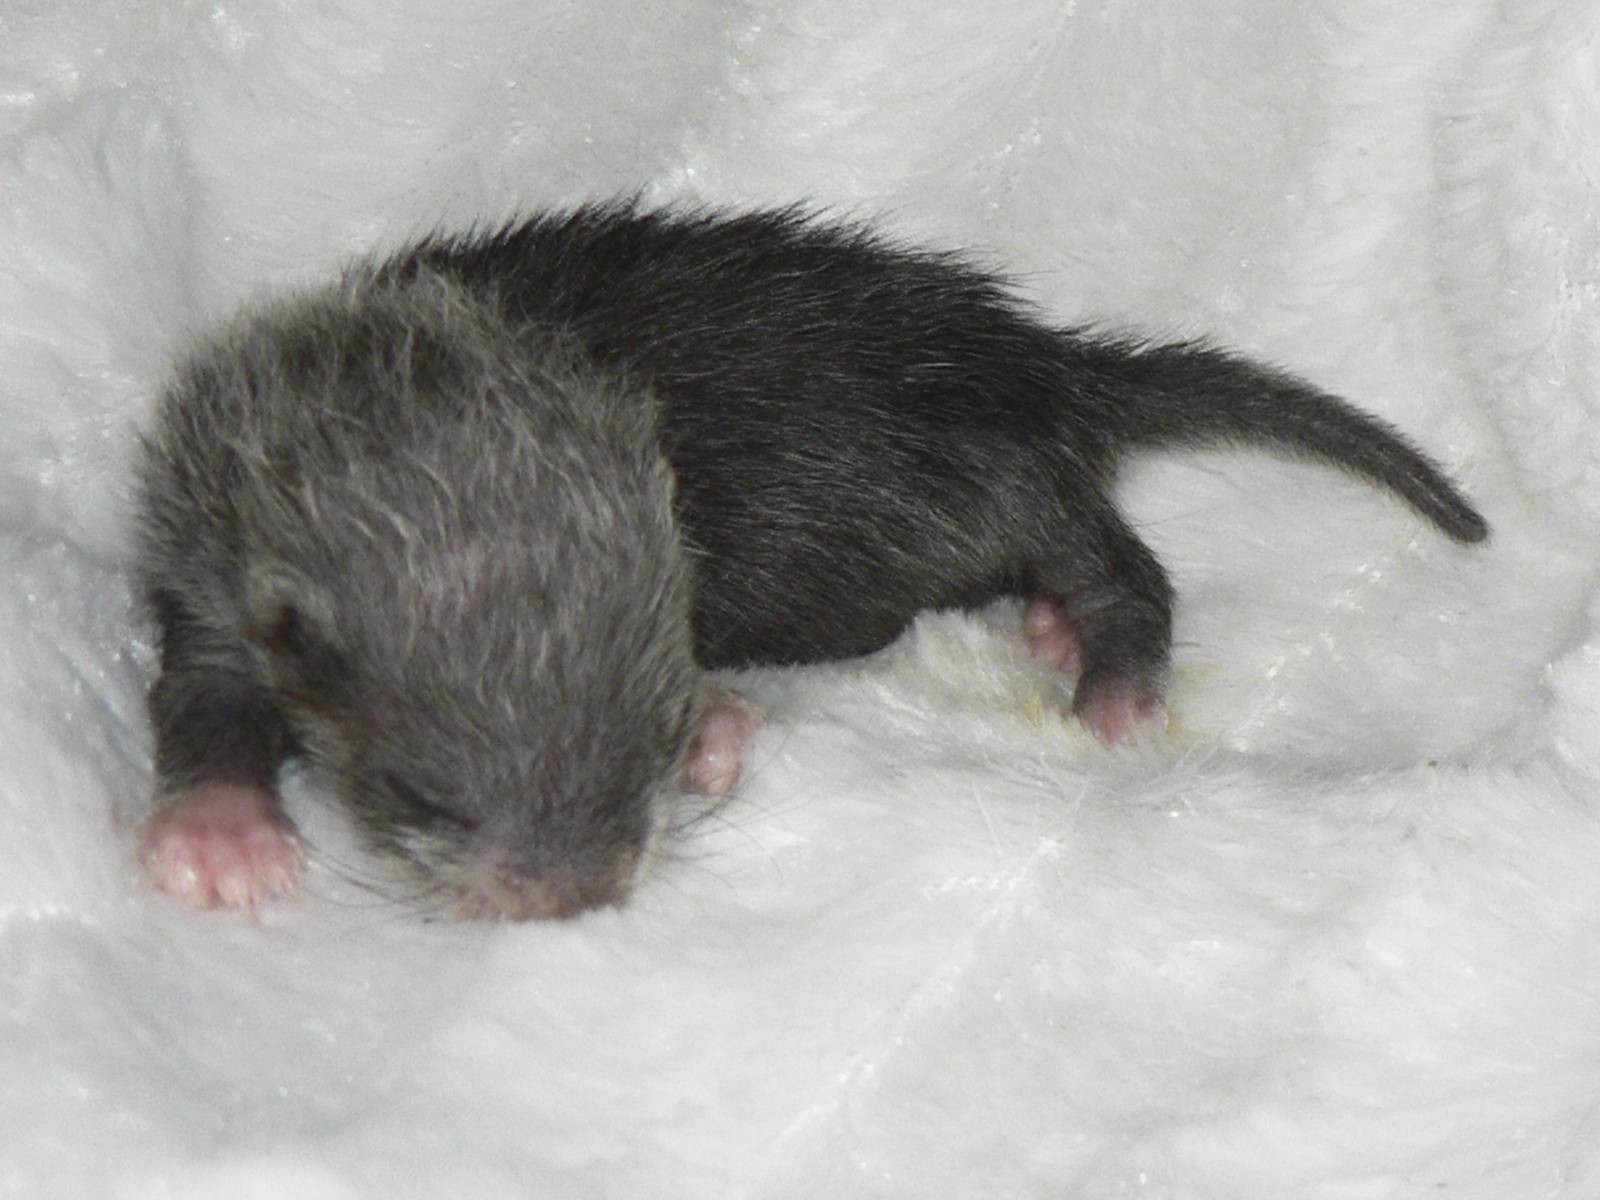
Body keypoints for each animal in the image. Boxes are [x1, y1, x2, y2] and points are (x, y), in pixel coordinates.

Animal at [134, 201, 1487, 920]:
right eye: (419, 792)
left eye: (650, 740)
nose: (577, 896)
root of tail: (1036, 364)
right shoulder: (205, 544)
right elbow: (201, 689)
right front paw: (223, 827)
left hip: (995, 480)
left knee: (1122, 564)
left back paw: (1108, 671)